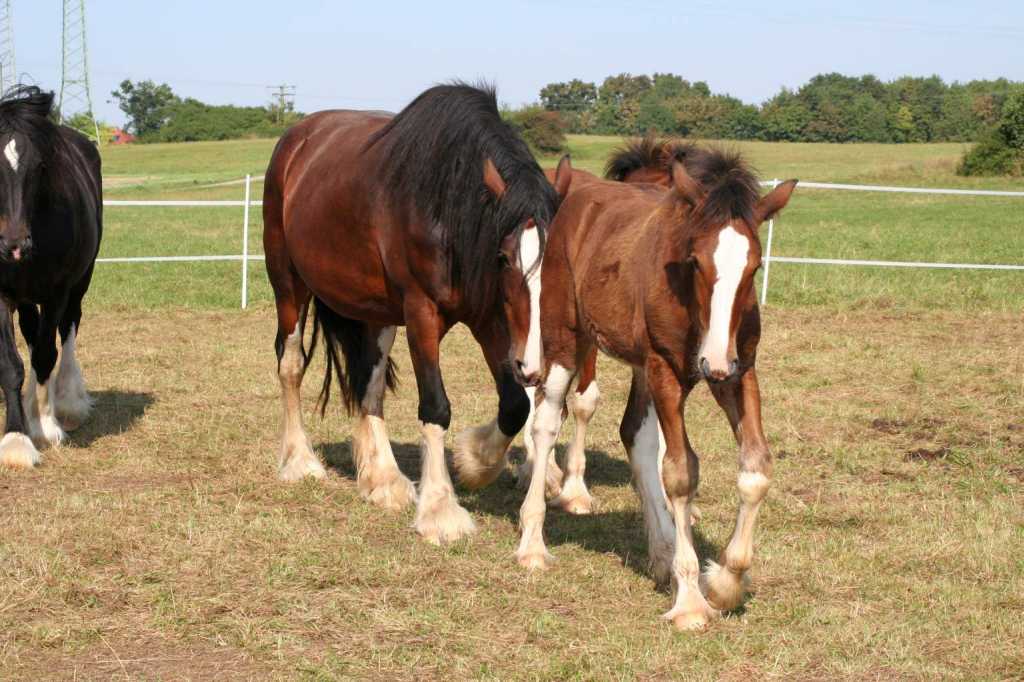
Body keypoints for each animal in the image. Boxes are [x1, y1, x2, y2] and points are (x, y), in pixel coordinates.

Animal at [0, 86, 102, 469]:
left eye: (41, 166)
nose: (15, 245)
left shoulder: (57, 291)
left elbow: (46, 355)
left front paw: (45, 428)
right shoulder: (2, 294)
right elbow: (12, 365)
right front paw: (16, 438)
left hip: (79, 284)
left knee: (68, 329)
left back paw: (68, 403)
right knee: (32, 335)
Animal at [263, 83, 572, 545]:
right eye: (504, 258)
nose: (534, 364)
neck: (447, 208)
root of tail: (296, 141)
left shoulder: (490, 321)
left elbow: (515, 405)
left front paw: (474, 461)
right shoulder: (422, 313)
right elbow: (436, 406)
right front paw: (441, 509)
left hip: (377, 312)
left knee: (369, 383)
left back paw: (383, 479)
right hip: (289, 287)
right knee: (292, 365)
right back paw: (301, 461)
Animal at [518, 146, 796, 630]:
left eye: (755, 266)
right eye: (696, 261)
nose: (713, 364)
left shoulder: (741, 371)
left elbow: (756, 466)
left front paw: (725, 582)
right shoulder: (667, 370)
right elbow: (681, 474)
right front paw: (691, 602)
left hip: (642, 366)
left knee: (636, 436)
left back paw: (663, 555)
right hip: (567, 341)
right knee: (547, 422)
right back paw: (534, 542)